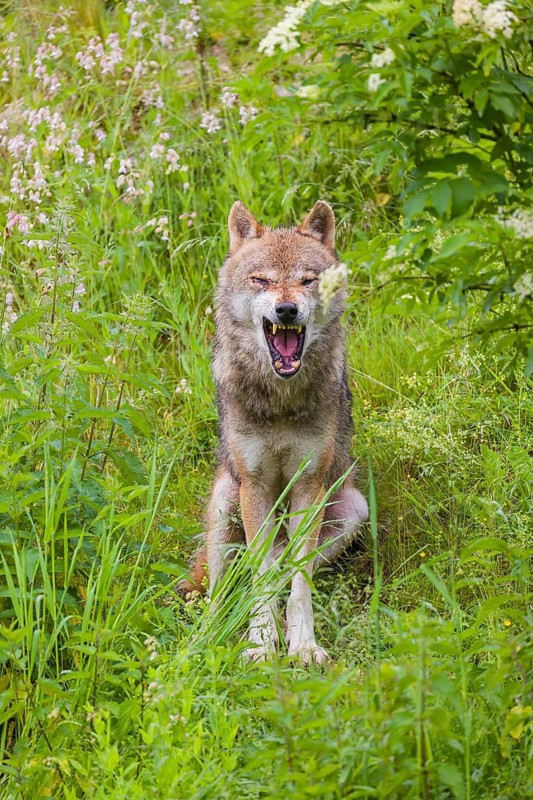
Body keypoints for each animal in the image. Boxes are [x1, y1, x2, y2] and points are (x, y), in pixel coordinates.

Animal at [187, 200, 368, 664]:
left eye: (307, 280)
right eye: (262, 280)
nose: (287, 310)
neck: (282, 399)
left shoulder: (308, 484)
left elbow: (297, 583)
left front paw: (302, 645)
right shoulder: (256, 486)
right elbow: (262, 576)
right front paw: (259, 644)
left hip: (353, 509)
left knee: (286, 565)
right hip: (225, 501)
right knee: (220, 590)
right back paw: (205, 640)